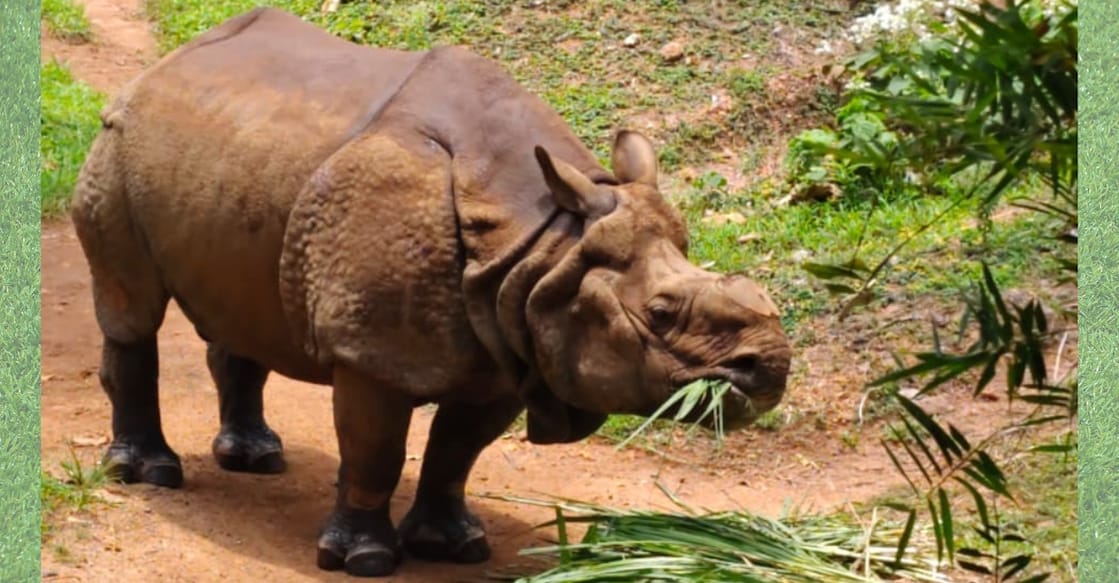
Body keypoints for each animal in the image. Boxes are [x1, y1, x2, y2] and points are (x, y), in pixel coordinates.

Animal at [70, 7, 791, 578]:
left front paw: (452, 546)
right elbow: (378, 447)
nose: (772, 366)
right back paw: (148, 473)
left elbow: (456, 449)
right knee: (131, 307)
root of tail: (161, 67)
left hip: (231, 156)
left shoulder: (510, 336)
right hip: (117, 140)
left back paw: (255, 458)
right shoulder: (373, 352)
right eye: (660, 313)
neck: (545, 242)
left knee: (243, 304)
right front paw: (364, 560)